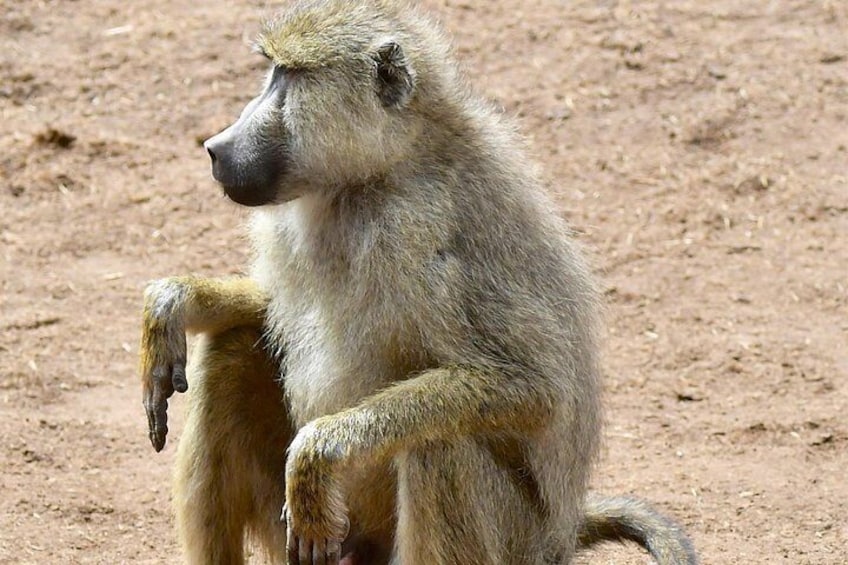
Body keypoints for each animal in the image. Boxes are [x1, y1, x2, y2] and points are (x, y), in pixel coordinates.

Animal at [138, 1, 698, 564]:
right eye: (272, 71)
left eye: (289, 77)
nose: (216, 148)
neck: (375, 178)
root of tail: (559, 538)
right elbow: (270, 308)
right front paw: (172, 304)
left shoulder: (420, 232)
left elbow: (535, 387)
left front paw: (319, 450)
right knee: (229, 352)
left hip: (507, 541)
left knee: (438, 443)